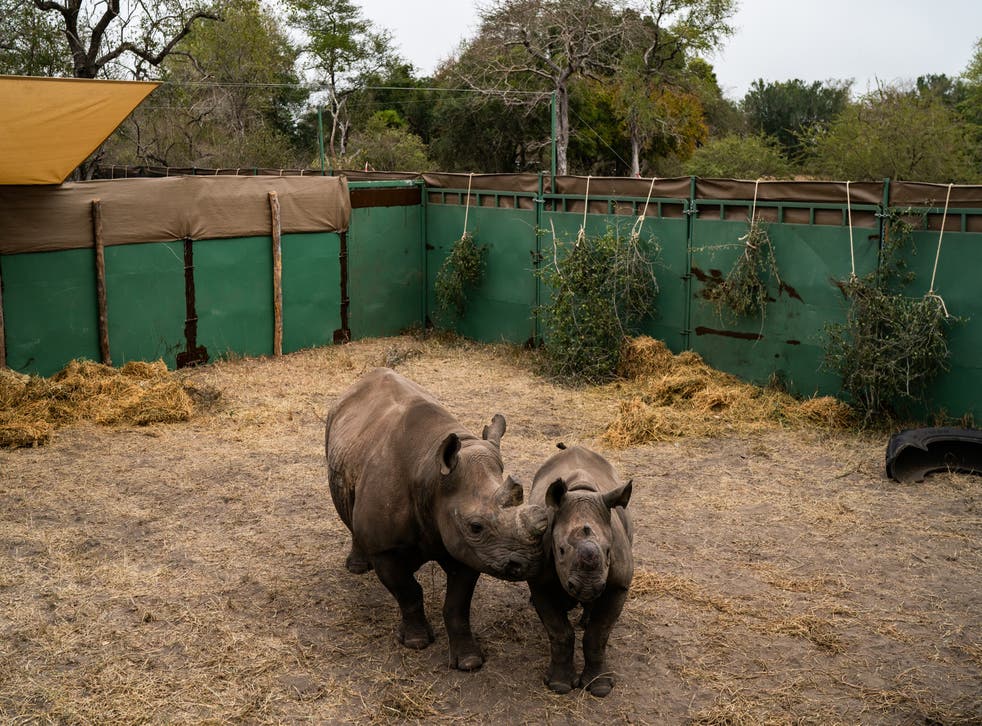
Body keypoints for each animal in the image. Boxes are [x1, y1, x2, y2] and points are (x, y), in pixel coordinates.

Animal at [324, 367, 548, 671]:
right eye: (475, 526)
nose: (527, 564)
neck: (431, 477)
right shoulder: (387, 549)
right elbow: (409, 592)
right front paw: (416, 642)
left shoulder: (468, 549)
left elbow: (457, 606)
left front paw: (469, 661)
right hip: (332, 427)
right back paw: (357, 568)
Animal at [527, 444, 634, 697]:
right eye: (561, 550)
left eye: (608, 551)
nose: (587, 587)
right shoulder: (539, 583)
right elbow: (559, 632)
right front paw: (559, 685)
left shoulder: (618, 586)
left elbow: (598, 635)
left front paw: (600, 688)